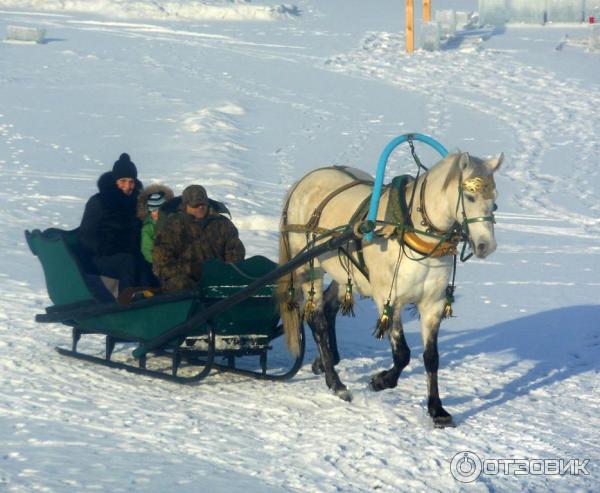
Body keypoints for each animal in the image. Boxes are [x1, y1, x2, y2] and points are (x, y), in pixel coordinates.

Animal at [278, 152, 504, 424]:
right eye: (469, 196)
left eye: (494, 201)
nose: (486, 246)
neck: (413, 232)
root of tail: (304, 180)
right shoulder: (389, 300)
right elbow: (402, 353)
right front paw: (381, 380)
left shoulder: (433, 304)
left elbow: (431, 358)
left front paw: (437, 409)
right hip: (308, 266)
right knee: (317, 318)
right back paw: (336, 383)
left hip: (343, 273)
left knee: (329, 309)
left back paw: (325, 360)